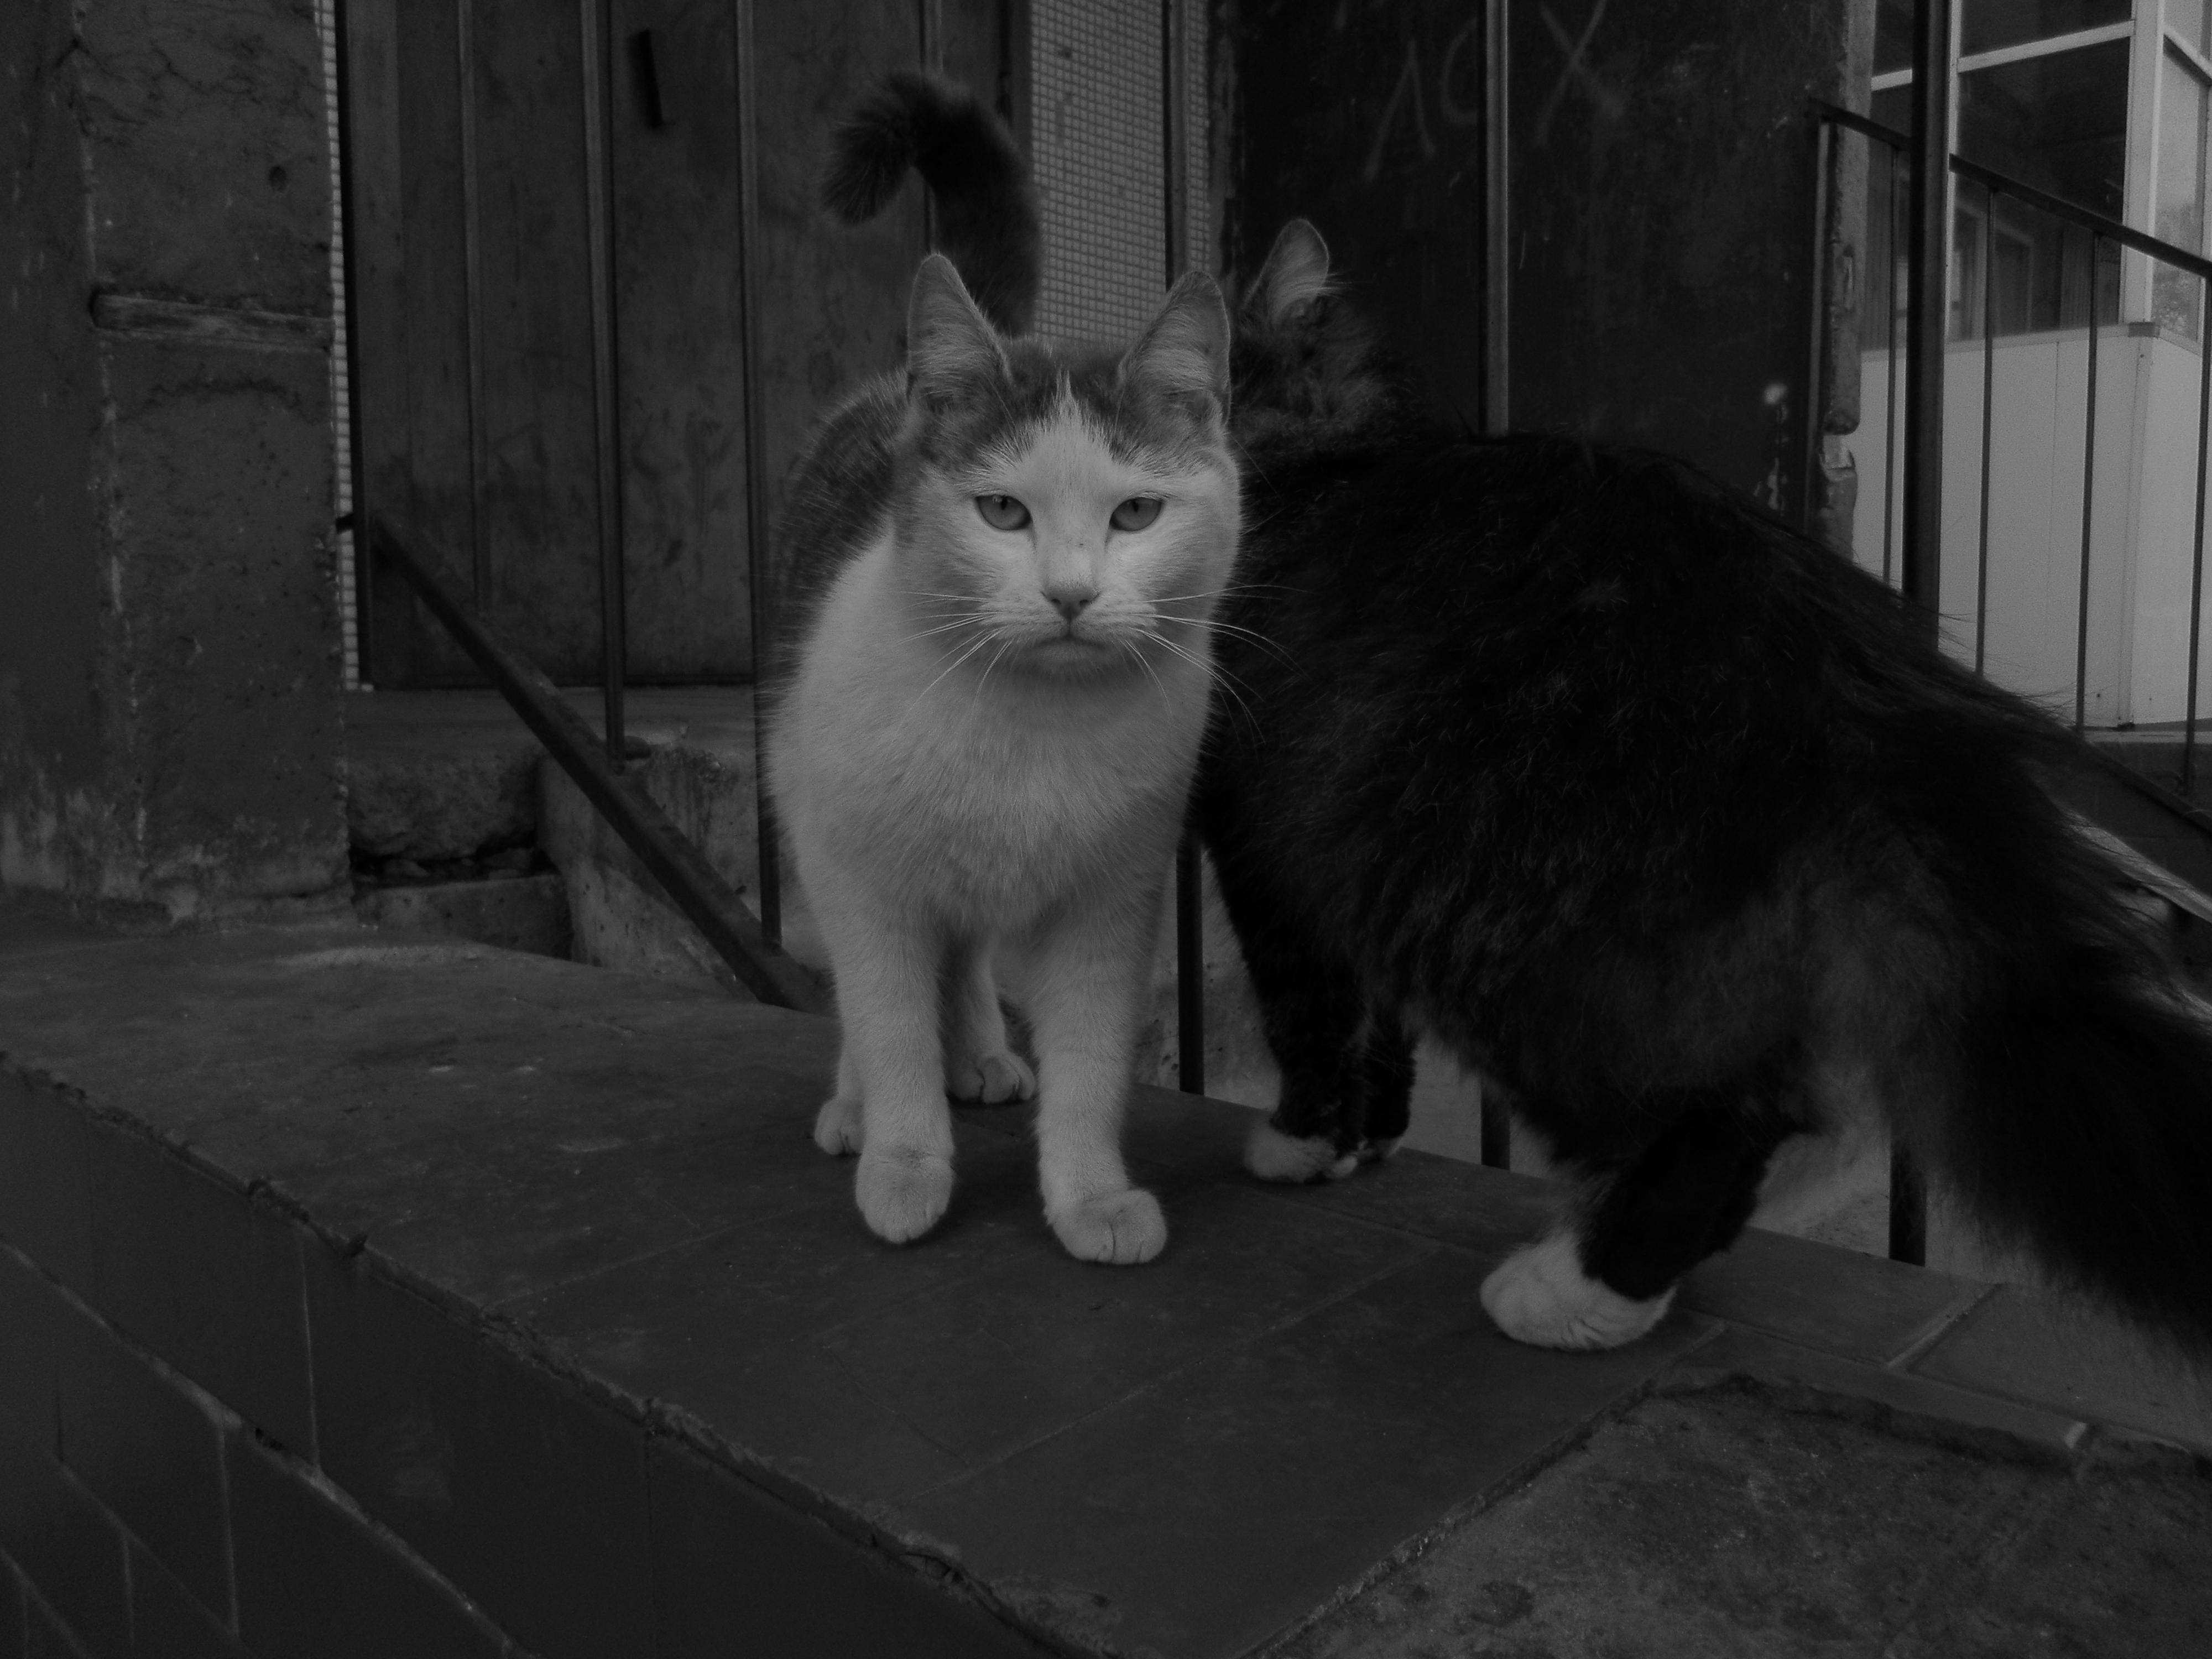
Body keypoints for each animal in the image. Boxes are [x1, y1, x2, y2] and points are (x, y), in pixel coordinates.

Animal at [767, 158, 1239, 1262]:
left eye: (1137, 513)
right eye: (1002, 512)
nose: (1070, 593)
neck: (1033, 728)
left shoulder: (1114, 902)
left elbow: (1093, 1060)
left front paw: (1090, 1195)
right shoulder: (861, 873)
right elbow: (888, 1023)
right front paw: (903, 1162)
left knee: (970, 953)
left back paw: (980, 1052)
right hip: (805, 794)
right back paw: (857, 1108)